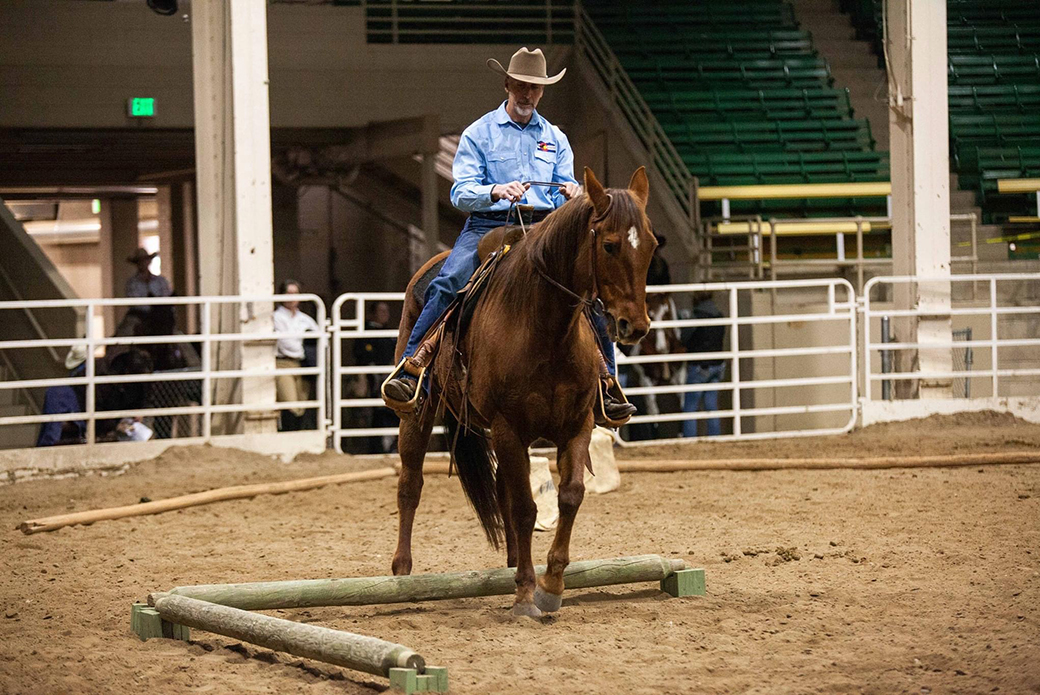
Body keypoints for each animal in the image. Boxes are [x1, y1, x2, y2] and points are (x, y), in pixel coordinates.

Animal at [391, 165, 657, 615]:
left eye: (652, 244)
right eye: (609, 244)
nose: (634, 326)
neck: (544, 328)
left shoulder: (576, 425)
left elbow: (568, 496)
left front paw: (550, 586)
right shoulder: (508, 427)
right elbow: (526, 507)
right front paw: (525, 593)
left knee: (501, 491)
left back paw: (513, 563)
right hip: (420, 414)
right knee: (411, 486)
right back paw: (402, 574)